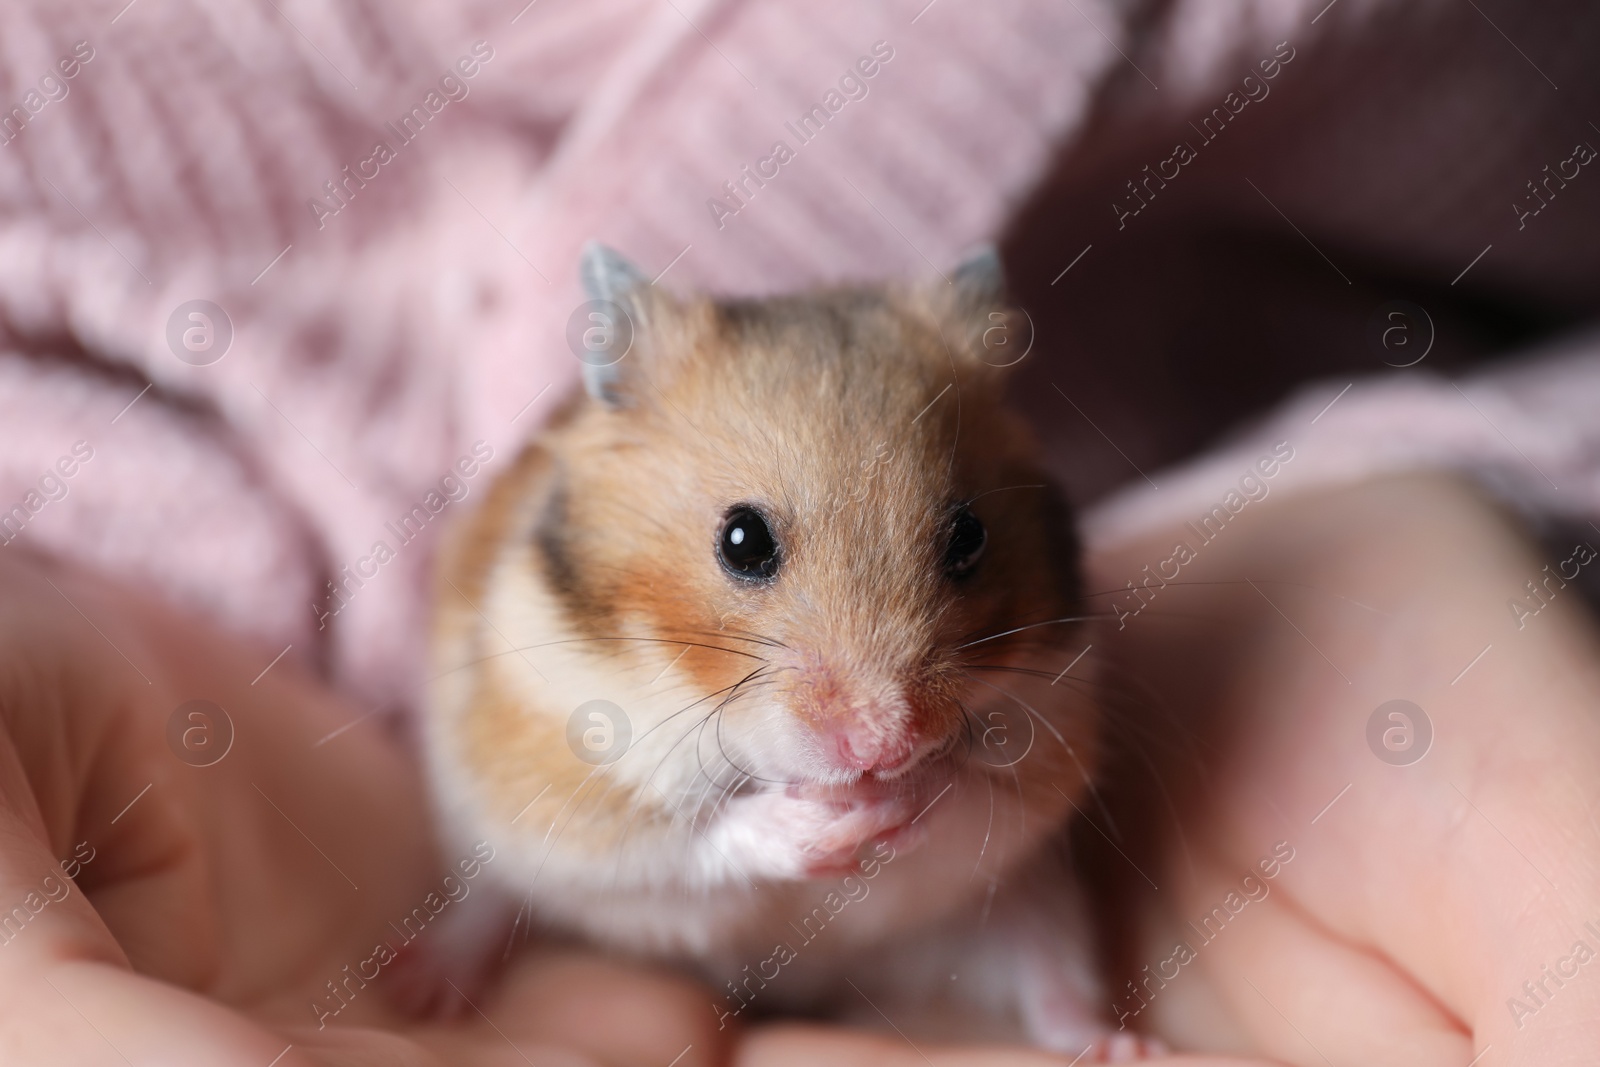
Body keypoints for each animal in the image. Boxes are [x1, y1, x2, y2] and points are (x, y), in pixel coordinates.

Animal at [419, 247, 1158, 1062]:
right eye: (742, 540)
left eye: (970, 537)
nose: (883, 744)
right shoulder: (567, 774)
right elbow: (694, 837)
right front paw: (827, 820)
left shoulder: (1049, 739)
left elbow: (968, 796)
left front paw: (895, 795)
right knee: (487, 897)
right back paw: (426, 988)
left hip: (1036, 896)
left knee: (1050, 969)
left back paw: (1115, 1044)